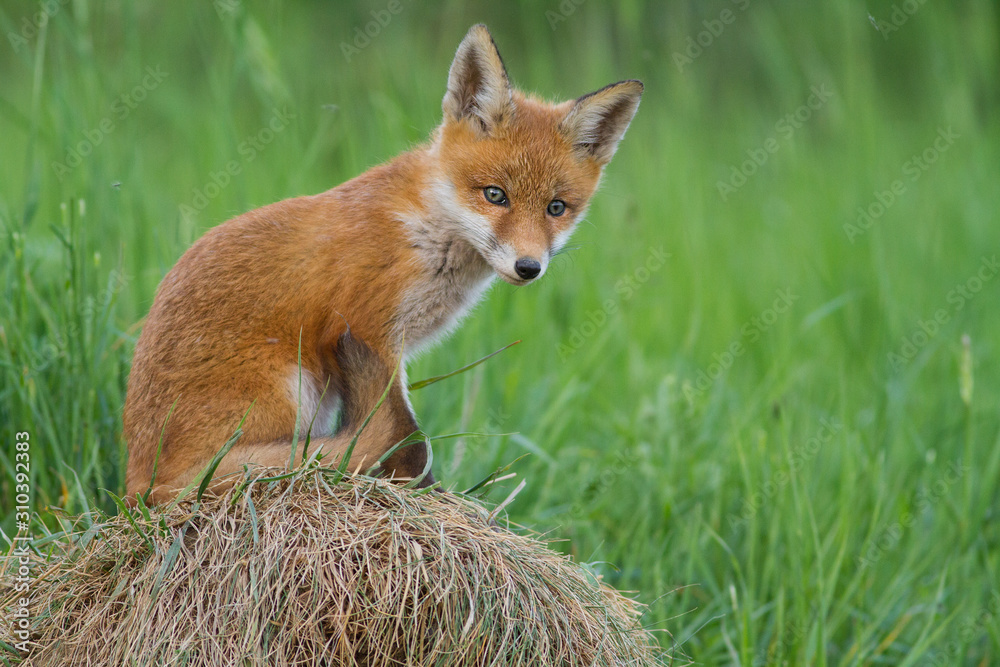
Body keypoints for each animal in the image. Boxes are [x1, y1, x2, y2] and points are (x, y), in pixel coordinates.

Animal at [124, 24, 642, 504]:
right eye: (496, 195)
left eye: (557, 208)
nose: (528, 267)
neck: (425, 233)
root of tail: (138, 483)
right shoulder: (371, 330)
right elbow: (409, 440)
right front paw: (424, 493)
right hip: (293, 390)